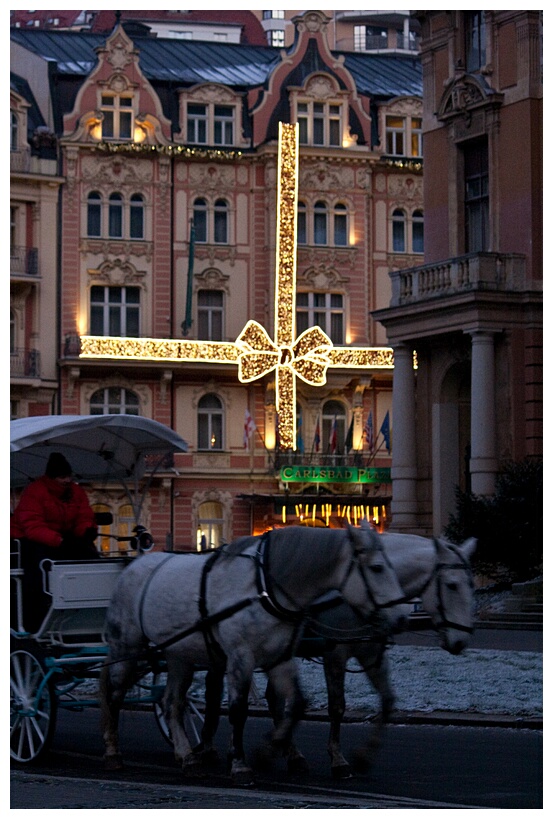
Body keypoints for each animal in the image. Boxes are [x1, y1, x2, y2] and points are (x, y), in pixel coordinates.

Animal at [99, 524, 406, 784]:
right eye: (377, 568)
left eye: (392, 566)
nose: (402, 617)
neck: (263, 587)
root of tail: (133, 565)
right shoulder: (242, 658)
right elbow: (239, 710)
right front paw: (241, 764)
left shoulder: (280, 657)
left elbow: (297, 704)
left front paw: (270, 751)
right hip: (127, 647)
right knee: (115, 695)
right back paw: (113, 752)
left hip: (179, 657)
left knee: (172, 701)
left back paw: (187, 756)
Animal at [268, 536, 474, 780]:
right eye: (452, 585)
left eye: (471, 585)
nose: (461, 640)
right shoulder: (335, 655)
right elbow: (337, 707)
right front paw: (338, 760)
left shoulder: (372, 654)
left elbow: (387, 701)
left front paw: (364, 756)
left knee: (274, 700)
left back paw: (289, 751)